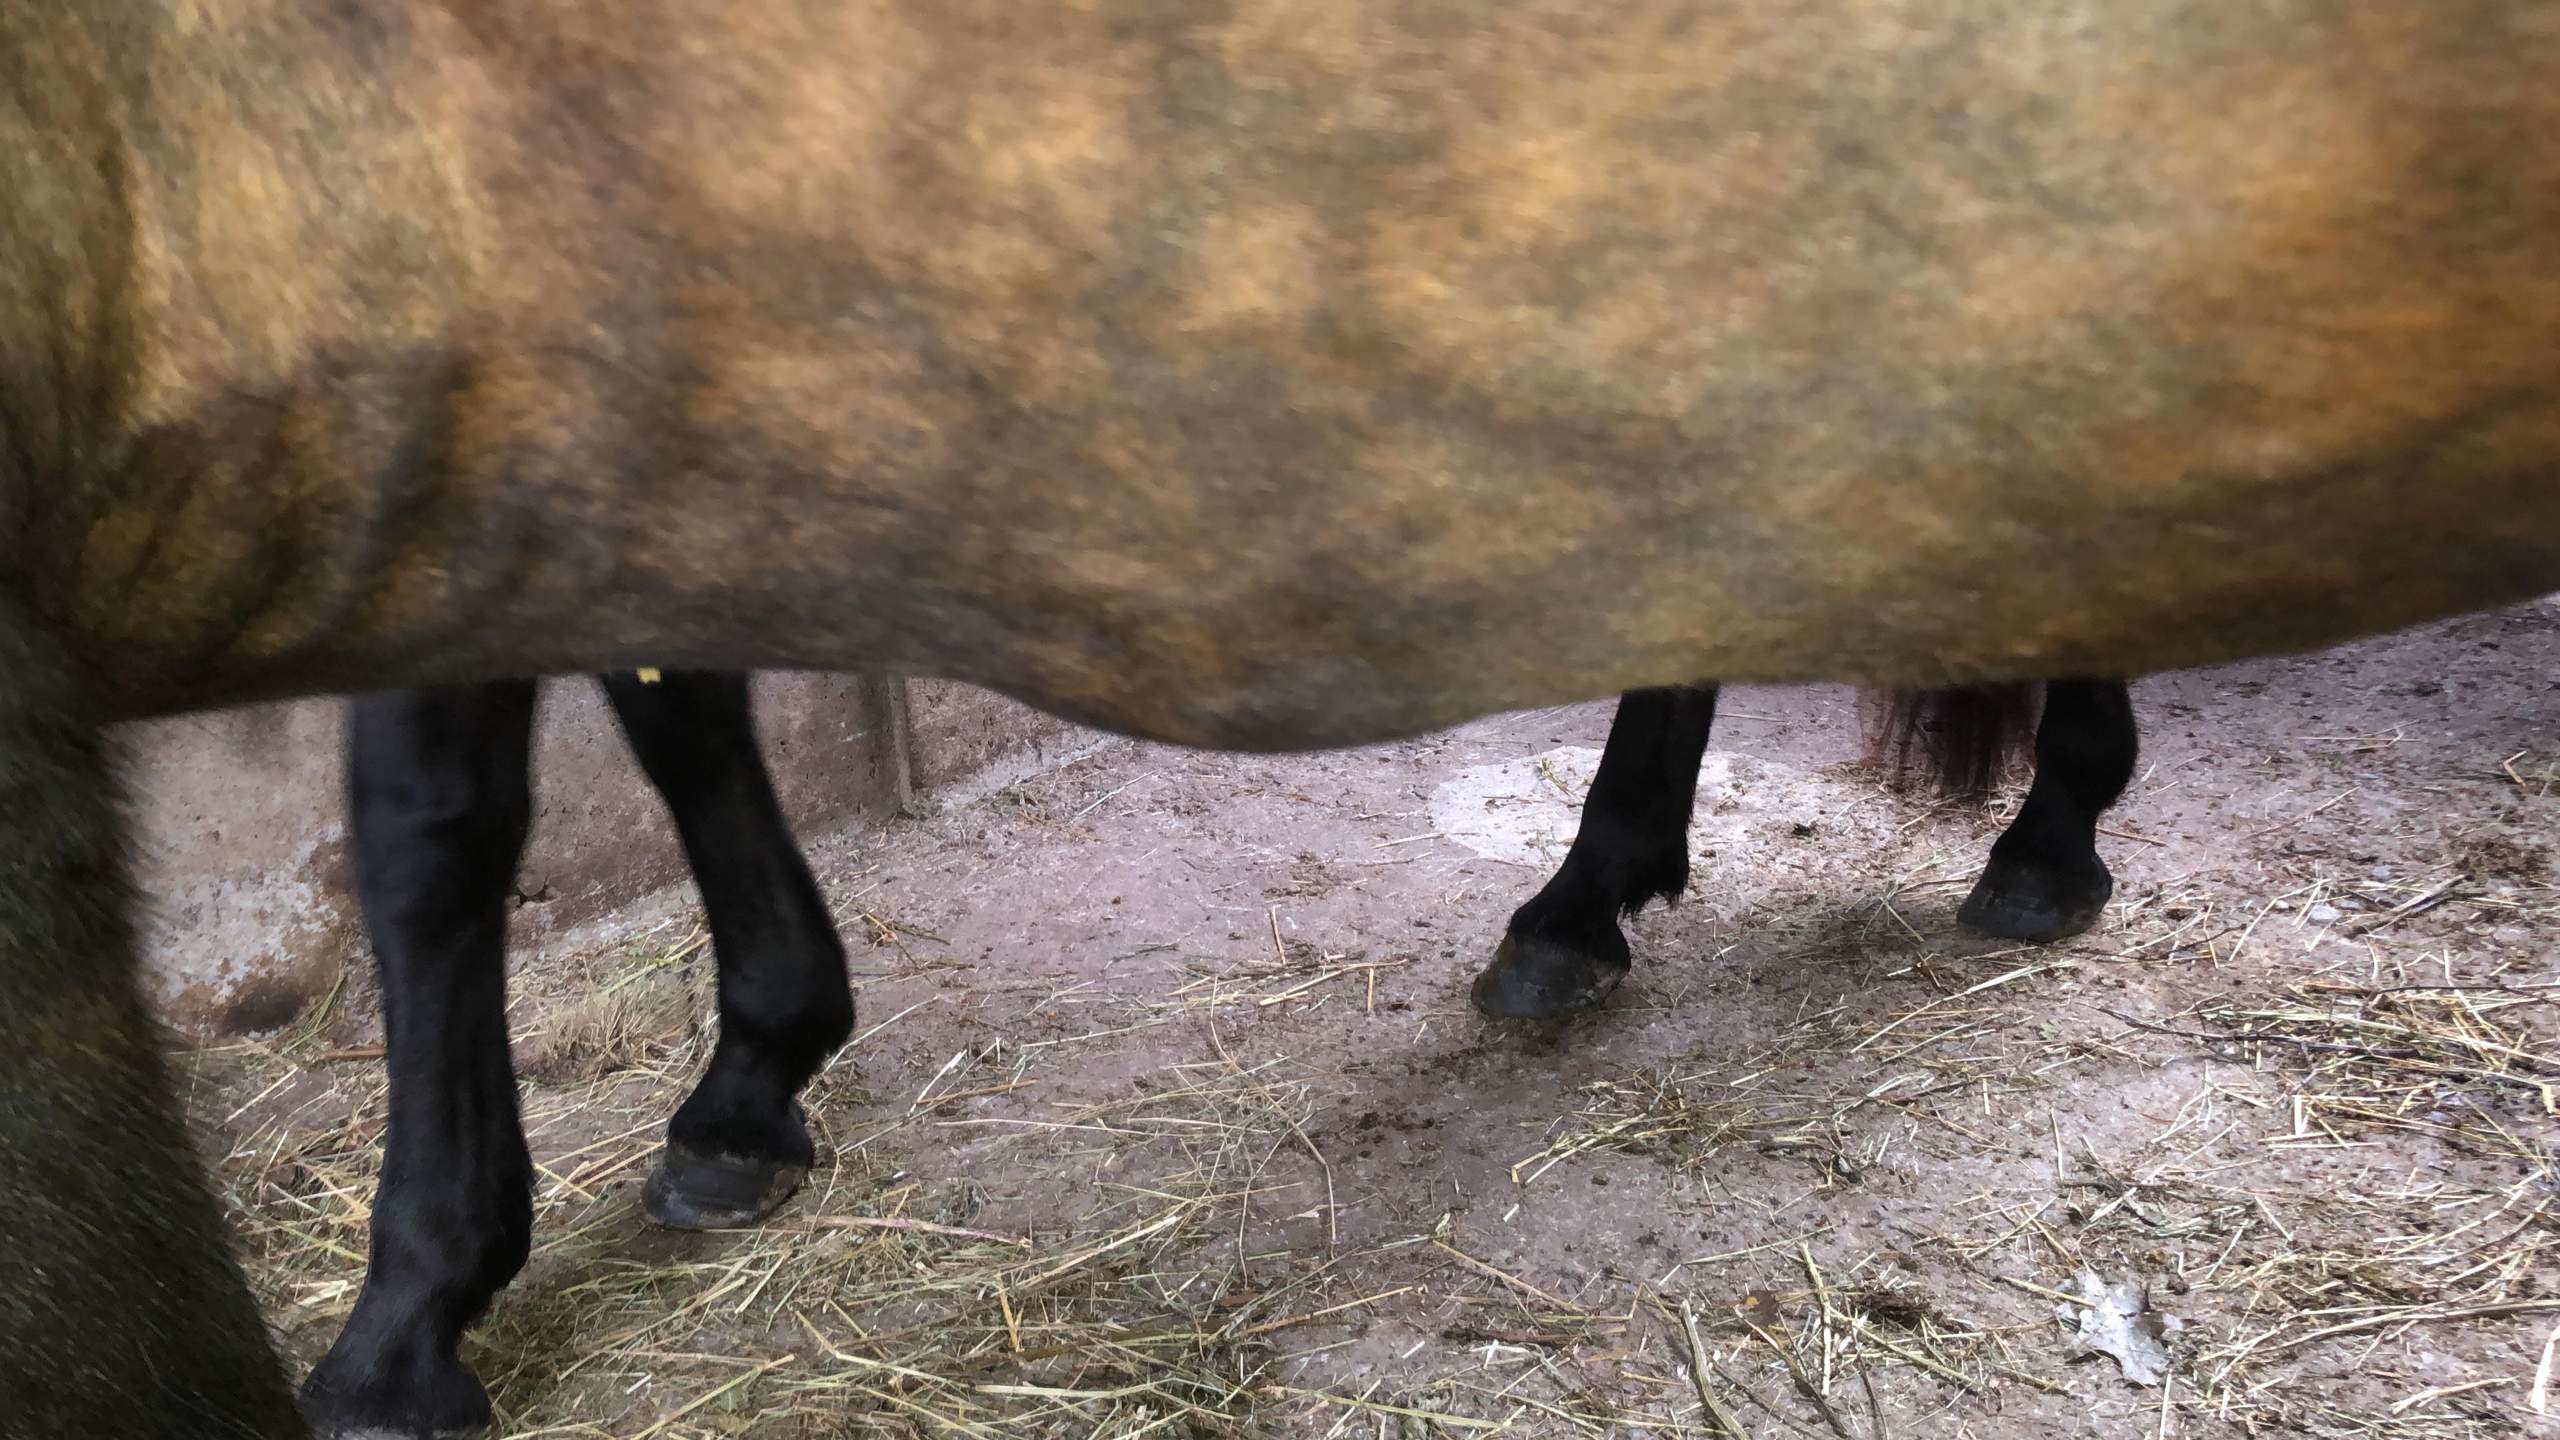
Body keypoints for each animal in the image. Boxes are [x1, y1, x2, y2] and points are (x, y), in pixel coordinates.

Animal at [5, 2, 2559, 1434]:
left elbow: (435, 826)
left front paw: (412, 1307)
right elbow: (668, 710)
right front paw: (747, 1074)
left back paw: (2029, 842)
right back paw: (1594, 894)